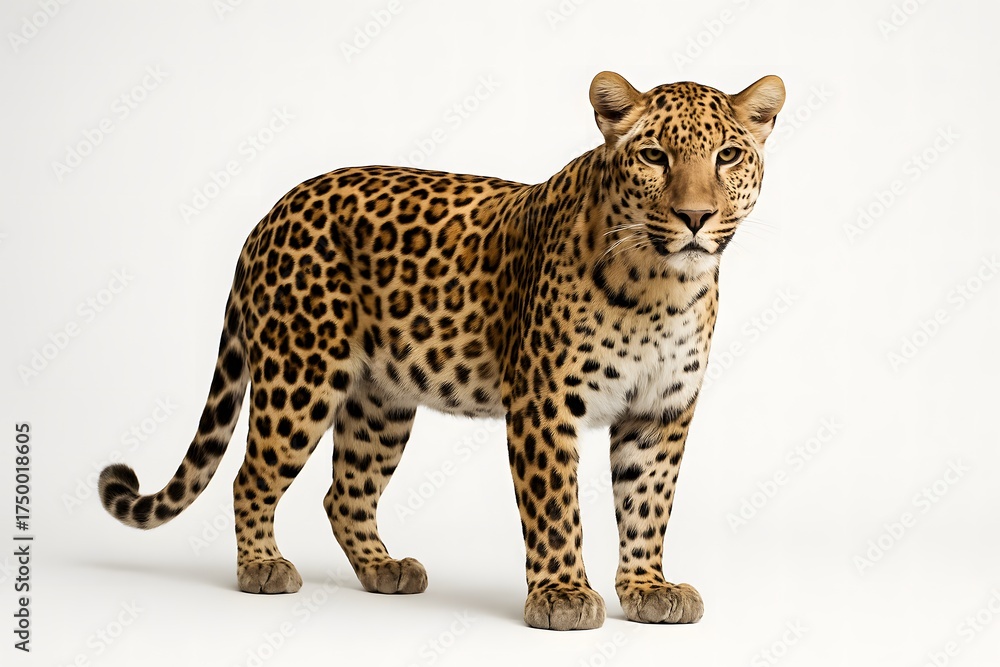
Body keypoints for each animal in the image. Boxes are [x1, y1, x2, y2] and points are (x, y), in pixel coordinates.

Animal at [99, 71, 784, 631]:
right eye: (653, 156)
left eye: (726, 156)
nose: (695, 217)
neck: (665, 290)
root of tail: (272, 214)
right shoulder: (545, 406)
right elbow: (556, 507)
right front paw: (562, 596)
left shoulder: (660, 413)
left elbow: (647, 504)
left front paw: (646, 588)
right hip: (300, 377)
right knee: (252, 475)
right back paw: (262, 567)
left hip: (381, 402)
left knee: (344, 492)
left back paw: (384, 569)